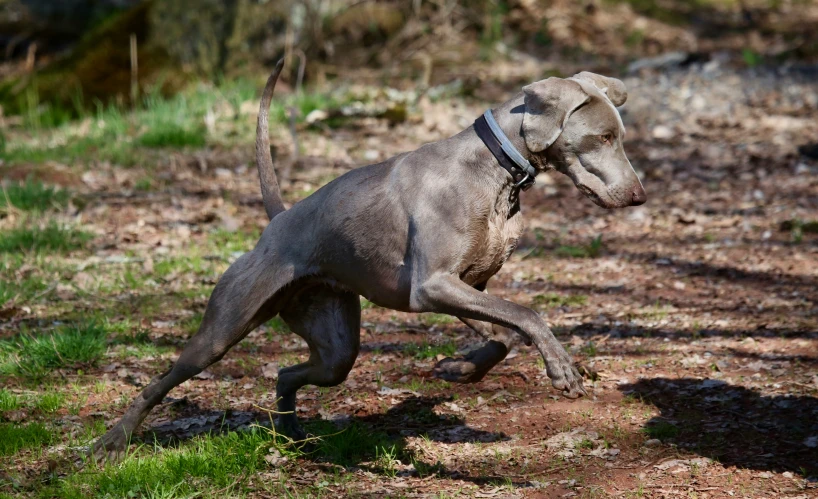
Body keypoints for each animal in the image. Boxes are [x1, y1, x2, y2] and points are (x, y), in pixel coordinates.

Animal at [92, 59, 644, 460]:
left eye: (618, 136)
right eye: (602, 138)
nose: (639, 196)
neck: (495, 170)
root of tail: (278, 219)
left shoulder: (467, 286)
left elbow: (505, 332)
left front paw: (459, 369)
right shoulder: (432, 286)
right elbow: (527, 314)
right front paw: (561, 369)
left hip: (336, 344)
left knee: (288, 374)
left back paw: (291, 435)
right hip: (223, 327)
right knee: (161, 382)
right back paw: (113, 442)